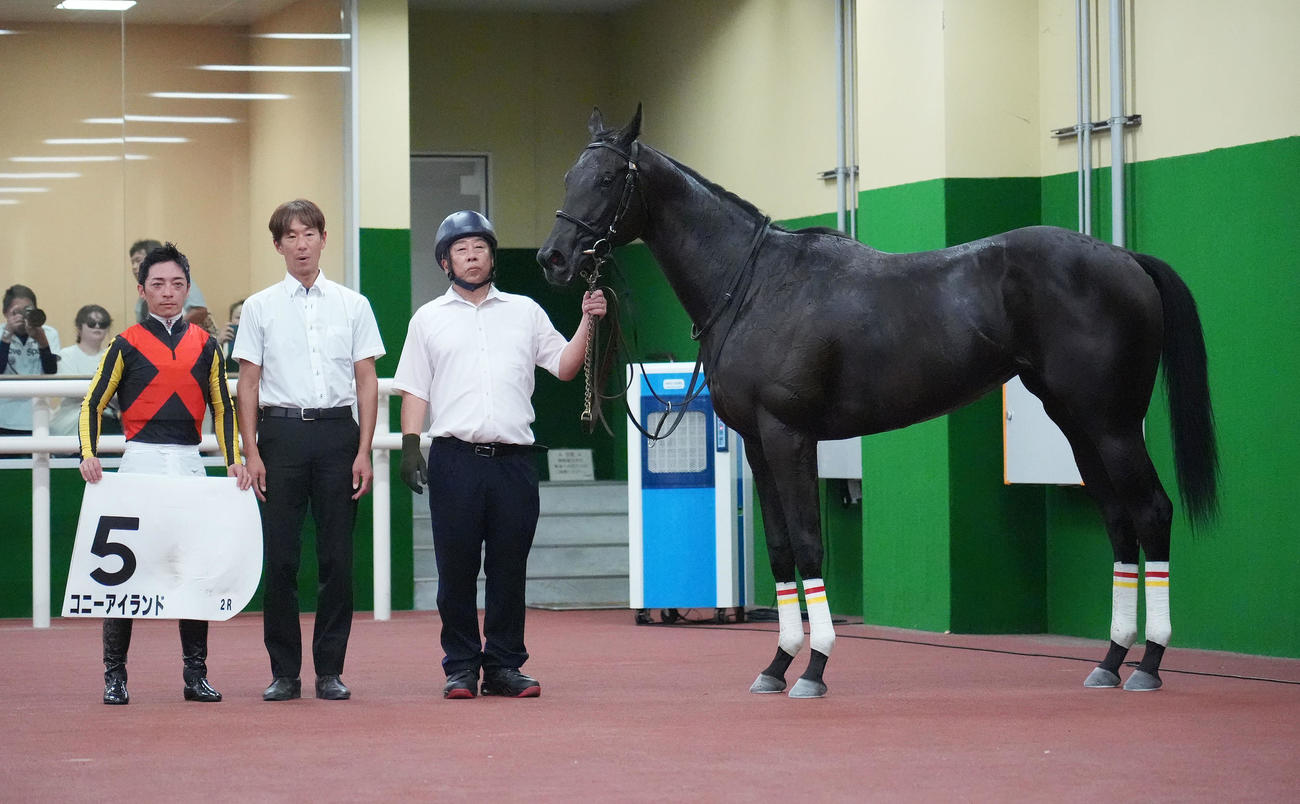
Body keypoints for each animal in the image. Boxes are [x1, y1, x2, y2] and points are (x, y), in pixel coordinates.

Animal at [538, 106, 1218, 698]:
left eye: (605, 179)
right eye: (567, 177)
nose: (553, 258)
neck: (754, 284)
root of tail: (1125, 258)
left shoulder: (788, 436)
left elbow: (809, 543)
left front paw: (814, 669)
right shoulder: (756, 444)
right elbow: (781, 549)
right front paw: (776, 665)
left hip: (1113, 426)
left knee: (1152, 513)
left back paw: (1148, 664)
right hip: (1079, 428)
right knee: (1119, 523)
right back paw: (1110, 661)